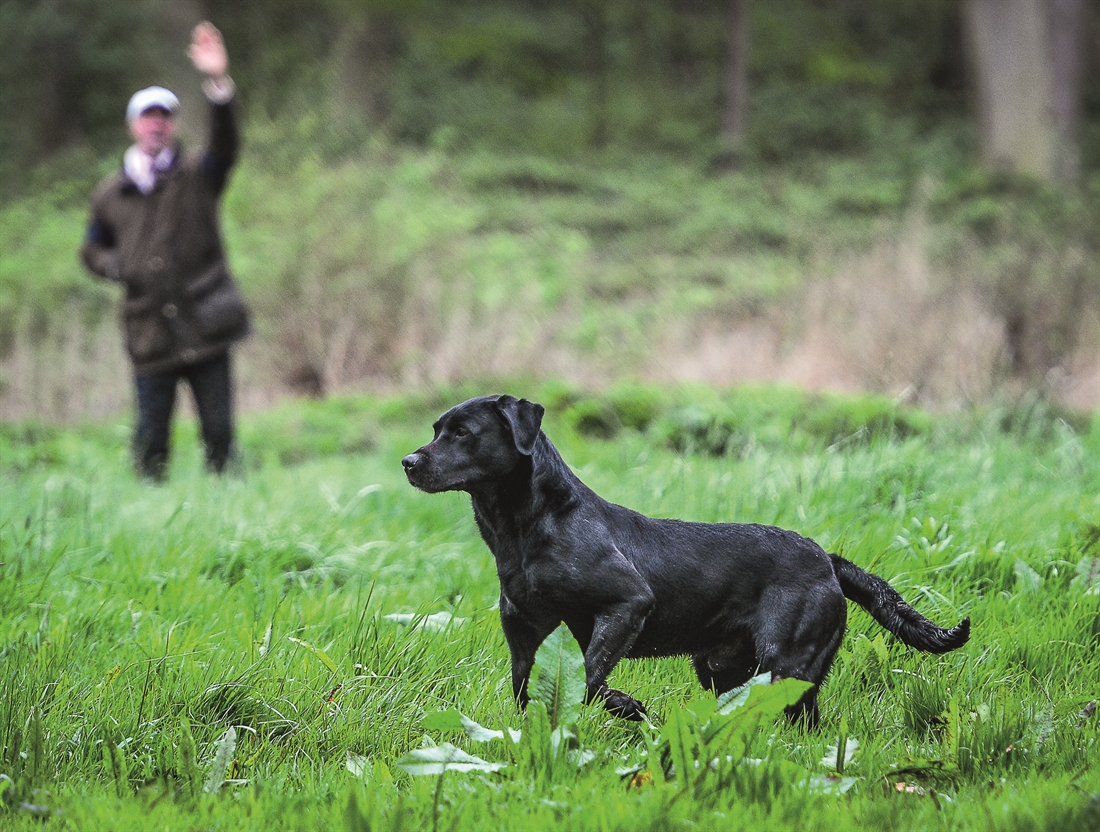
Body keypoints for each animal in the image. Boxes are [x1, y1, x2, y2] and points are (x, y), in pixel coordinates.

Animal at [400, 393, 968, 726]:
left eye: (462, 432)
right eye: (435, 429)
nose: (408, 461)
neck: (523, 528)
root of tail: (828, 558)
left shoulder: (627, 603)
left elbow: (589, 677)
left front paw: (628, 707)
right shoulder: (523, 627)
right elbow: (528, 686)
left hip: (786, 661)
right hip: (720, 667)